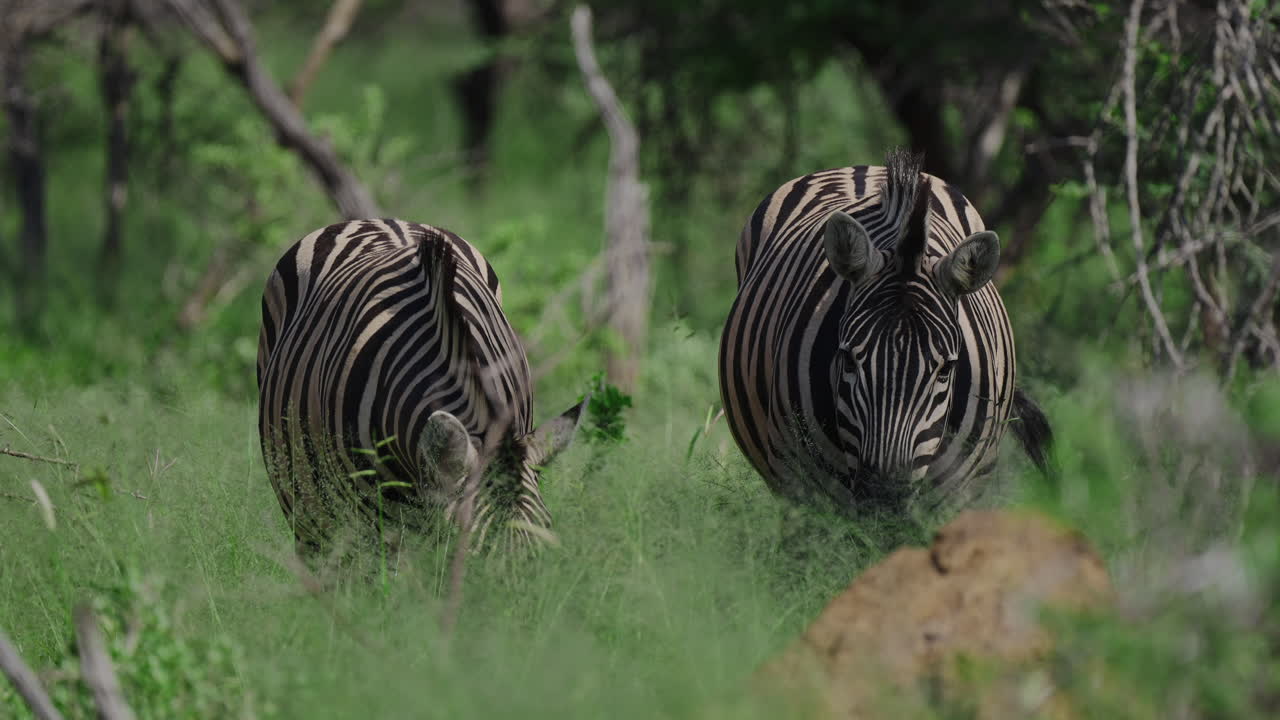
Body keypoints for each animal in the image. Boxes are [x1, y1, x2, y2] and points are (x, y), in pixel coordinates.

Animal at [718, 150, 1051, 514]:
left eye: (946, 369)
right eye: (848, 360)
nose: (885, 497)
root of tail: (860, 167)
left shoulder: (957, 496)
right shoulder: (803, 488)